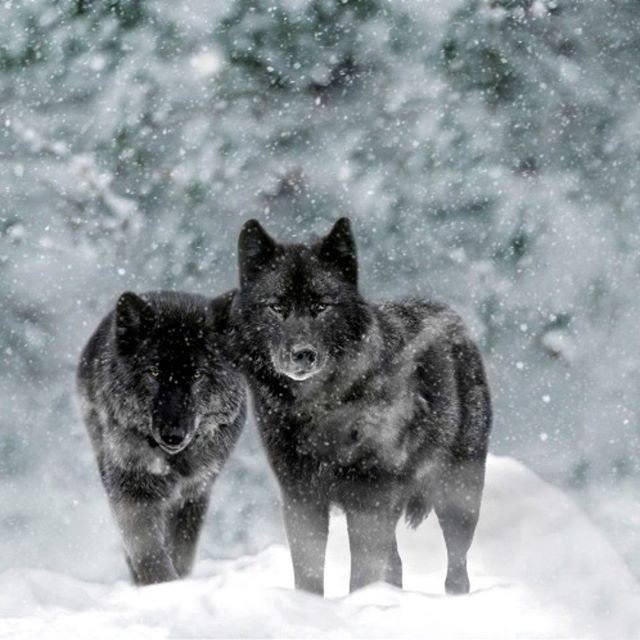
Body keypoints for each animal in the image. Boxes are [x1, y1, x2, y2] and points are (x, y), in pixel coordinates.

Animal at [76, 291, 246, 585]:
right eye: (154, 372)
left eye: (198, 374)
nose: (173, 435)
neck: (174, 461)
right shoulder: (132, 490)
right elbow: (149, 552)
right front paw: (162, 587)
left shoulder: (195, 492)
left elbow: (179, 551)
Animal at [230, 218, 491, 596]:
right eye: (277, 307)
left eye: (321, 306)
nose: (302, 354)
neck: (320, 410)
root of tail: (452, 316)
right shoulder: (301, 497)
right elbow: (309, 574)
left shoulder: (369, 498)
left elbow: (362, 572)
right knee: (395, 564)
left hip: (458, 498)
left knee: (457, 568)